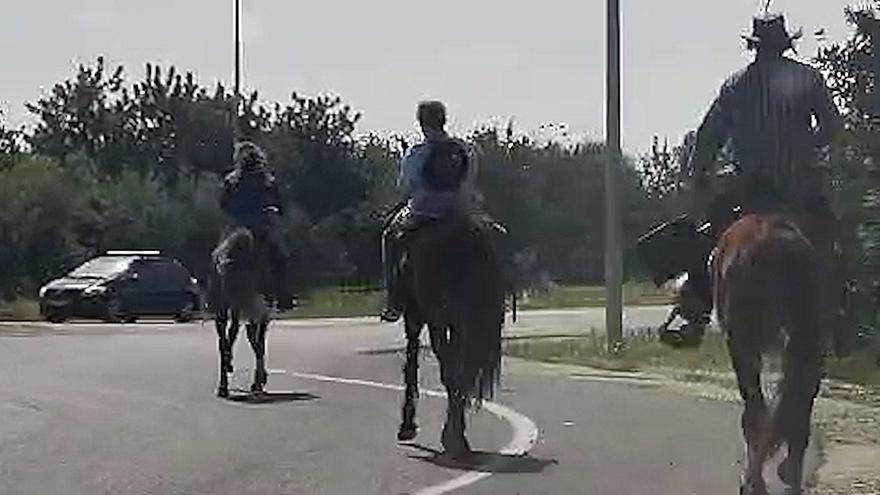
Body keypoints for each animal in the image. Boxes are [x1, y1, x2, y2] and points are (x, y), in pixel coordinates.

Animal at [396, 213, 506, 458]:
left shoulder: (416, 316)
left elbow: (412, 363)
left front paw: (408, 425)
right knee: (461, 370)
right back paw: (457, 436)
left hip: (437, 318)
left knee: (451, 369)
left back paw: (453, 437)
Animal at [712, 214, 828, 495]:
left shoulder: (742, 348)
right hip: (809, 341)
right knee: (798, 403)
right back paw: (789, 477)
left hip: (748, 343)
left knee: (759, 411)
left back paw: (756, 480)